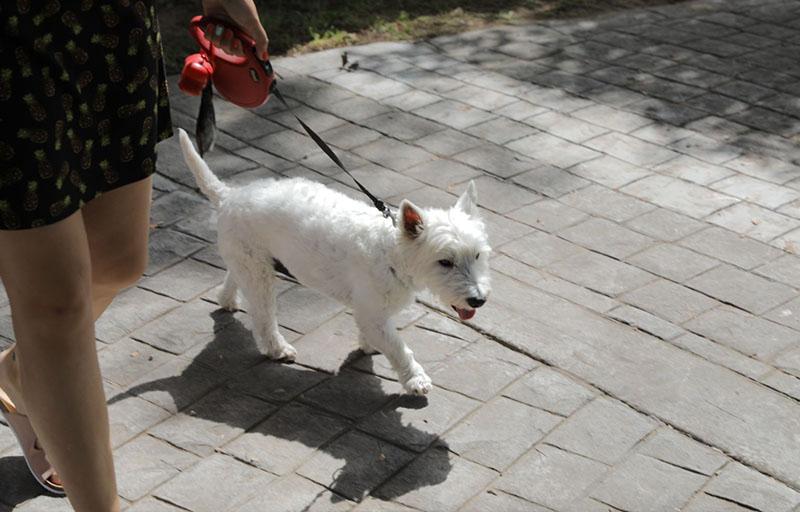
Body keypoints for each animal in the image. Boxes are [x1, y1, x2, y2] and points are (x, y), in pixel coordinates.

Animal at [178, 130, 490, 394]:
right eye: (445, 262)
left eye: (477, 255)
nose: (478, 300)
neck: (391, 253)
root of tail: (229, 195)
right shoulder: (373, 313)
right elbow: (399, 347)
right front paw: (416, 379)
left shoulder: (372, 311)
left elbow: (378, 337)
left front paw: (369, 347)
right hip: (259, 273)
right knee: (264, 316)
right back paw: (278, 348)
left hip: (252, 258)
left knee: (235, 275)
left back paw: (227, 299)